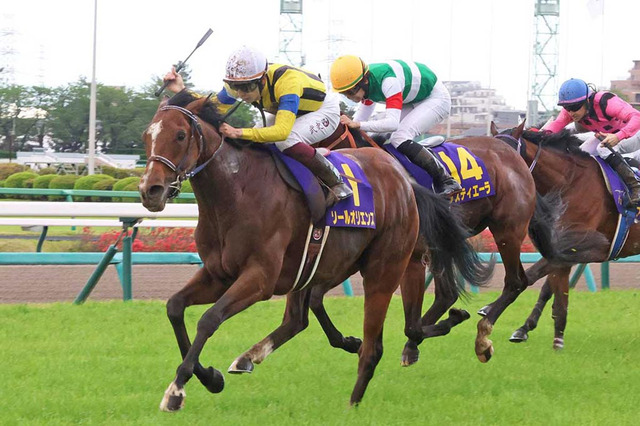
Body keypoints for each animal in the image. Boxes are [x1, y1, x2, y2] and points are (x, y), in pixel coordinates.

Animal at [138, 90, 493, 410]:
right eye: (147, 136)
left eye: (180, 135)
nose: (150, 190)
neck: (237, 191)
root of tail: (405, 181)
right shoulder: (218, 274)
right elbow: (175, 307)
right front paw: (208, 377)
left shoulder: (260, 278)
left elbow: (209, 319)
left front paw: (178, 389)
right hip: (331, 262)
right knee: (302, 318)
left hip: (386, 267)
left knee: (377, 344)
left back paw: (353, 402)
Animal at [491, 121, 615, 349]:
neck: (569, 182)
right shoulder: (561, 247)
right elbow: (542, 282)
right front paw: (521, 327)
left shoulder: (578, 244)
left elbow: (537, 276)